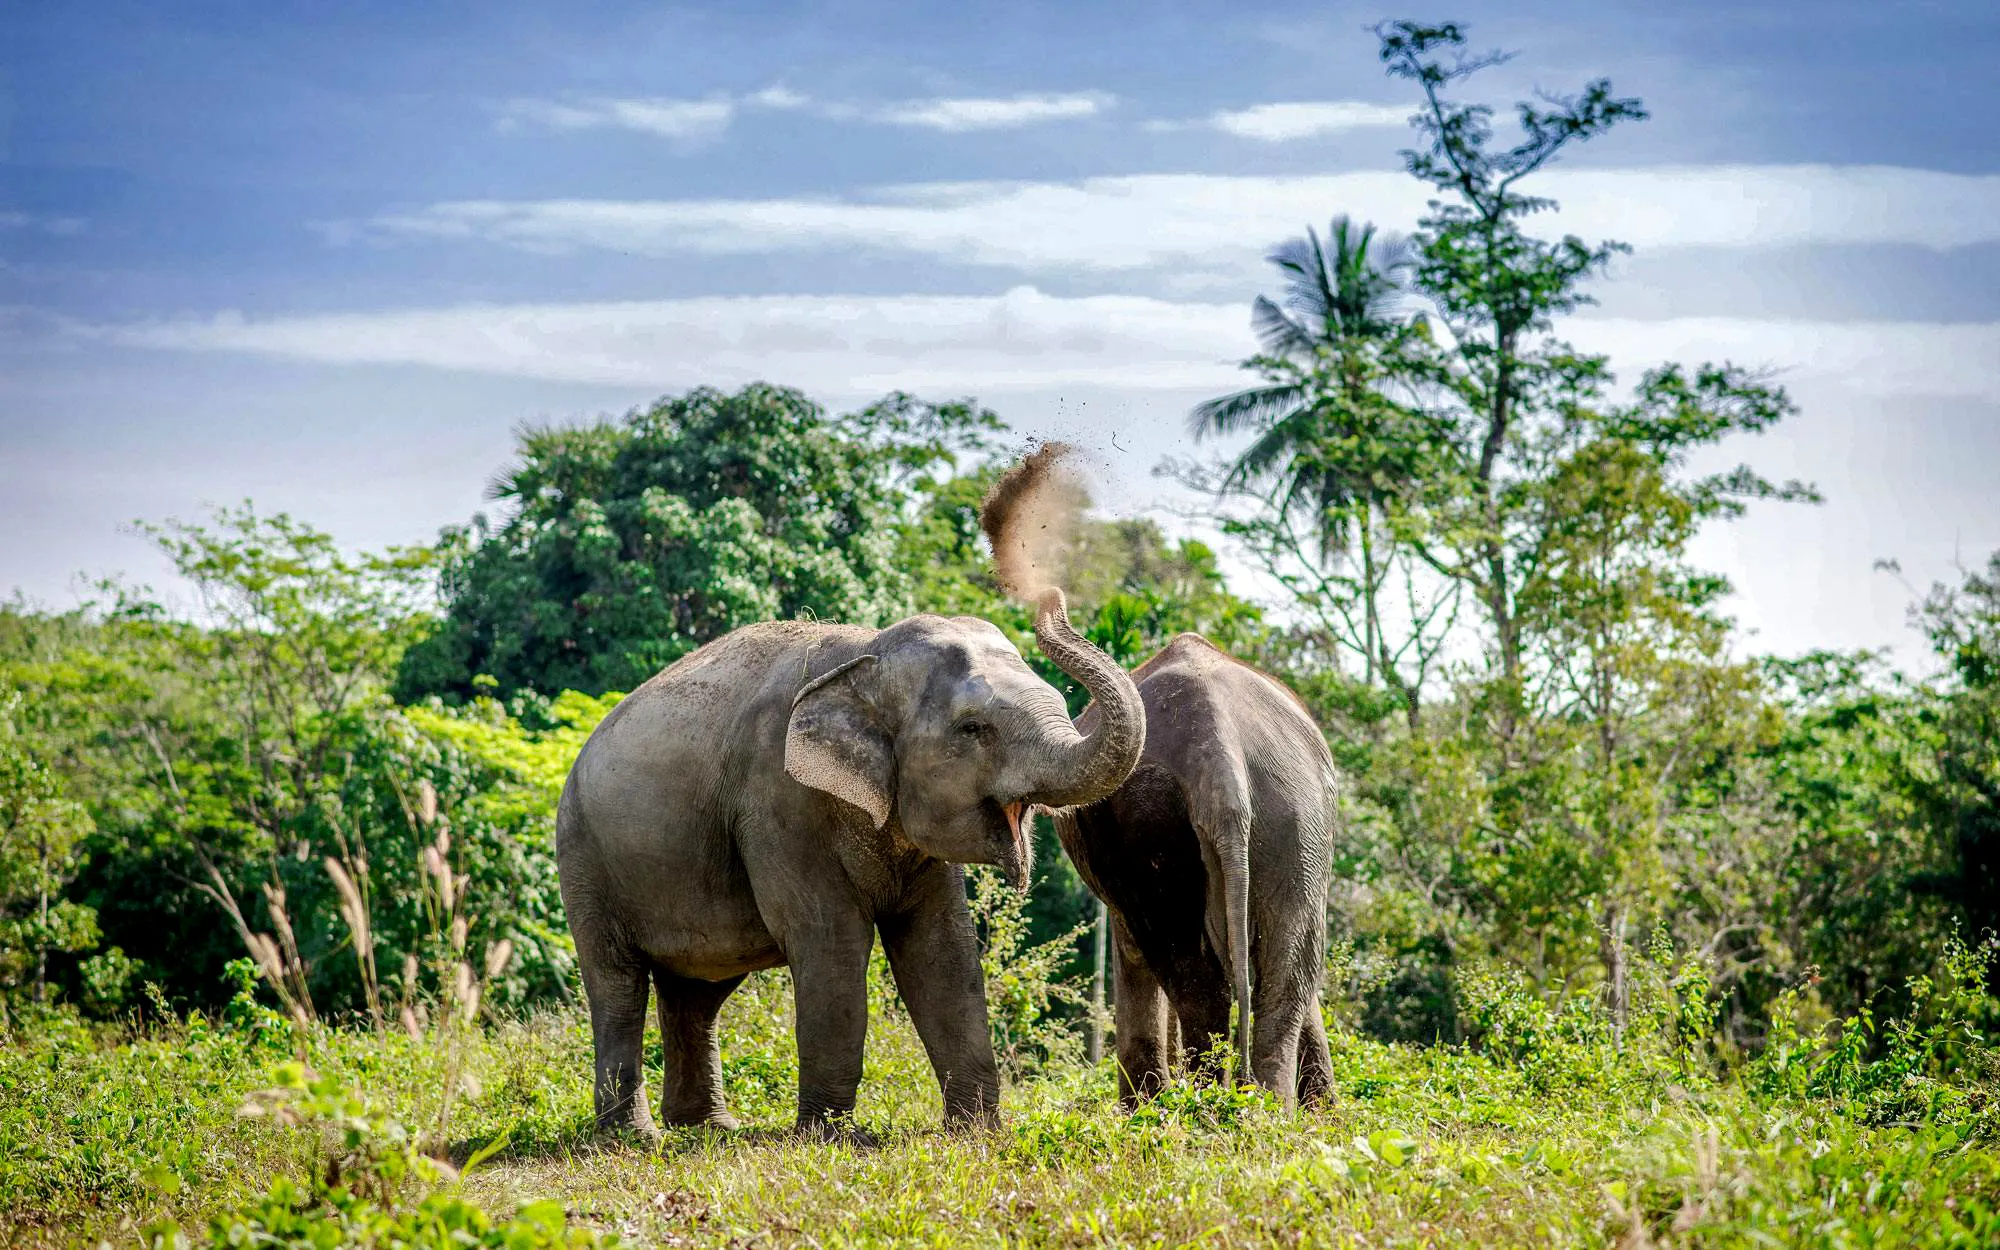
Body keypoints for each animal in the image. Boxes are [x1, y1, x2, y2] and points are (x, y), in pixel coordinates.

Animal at [555, 586, 1143, 1141]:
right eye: (973, 728)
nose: (1050, 597)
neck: (866, 656)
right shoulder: (779, 801)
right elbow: (832, 940)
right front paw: (833, 1137)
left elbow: (941, 950)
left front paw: (978, 1130)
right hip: (584, 861)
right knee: (618, 987)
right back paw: (633, 1137)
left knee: (698, 993)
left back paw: (710, 1129)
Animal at [1050, 633, 1337, 1108]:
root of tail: (1219, 760)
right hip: (1295, 821)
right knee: (1283, 976)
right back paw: (1260, 1112)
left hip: (1157, 823)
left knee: (1193, 973)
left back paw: (1204, 1109)